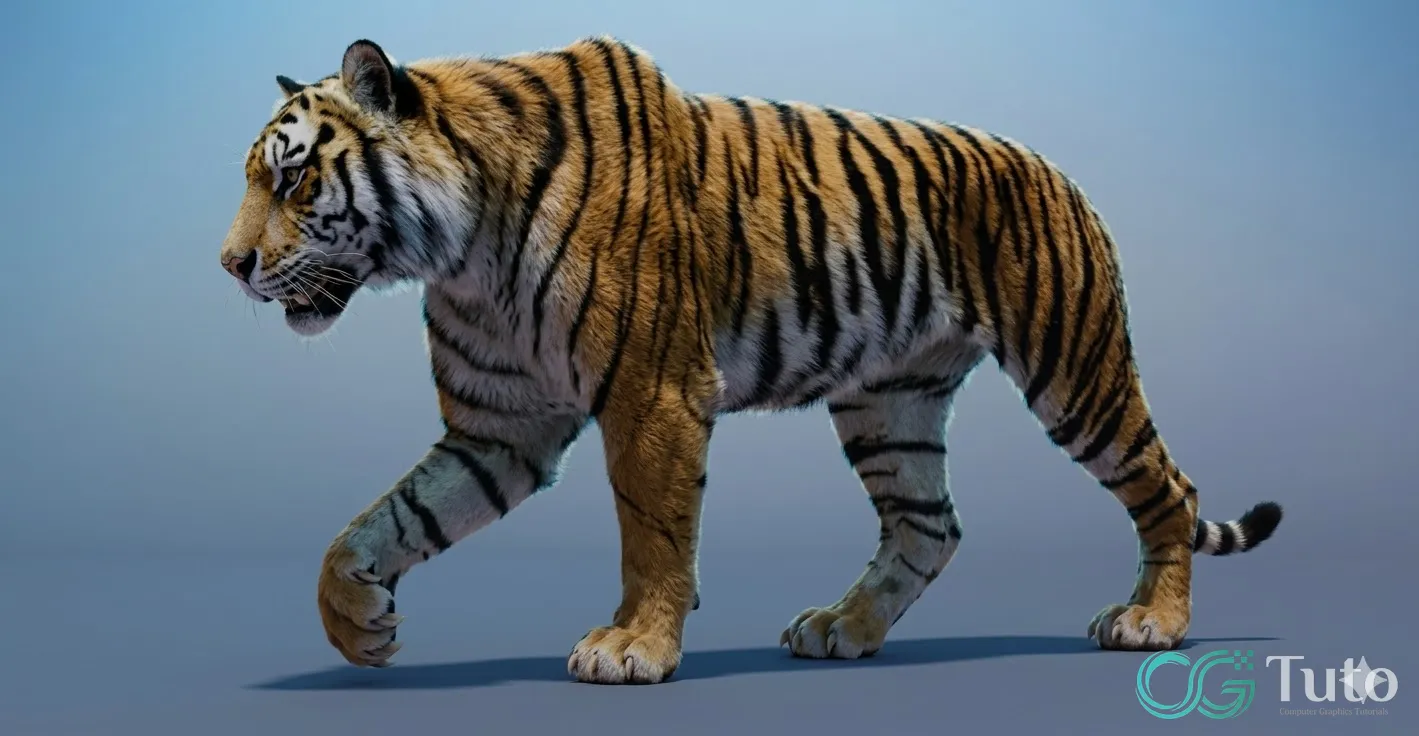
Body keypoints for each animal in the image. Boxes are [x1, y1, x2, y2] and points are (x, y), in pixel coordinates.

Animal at [218, 37, 1284, 685]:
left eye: (294, 178)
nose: (230, 267)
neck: (460, 247)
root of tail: (1057, 170)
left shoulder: (651, 391)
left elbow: (651, 531)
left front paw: (634, 647)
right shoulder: (497, 428)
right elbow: (378, 524)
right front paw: (359, 625)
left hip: (1074, 365)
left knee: (1166, 488)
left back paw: (1152, 622)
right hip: (889, 404)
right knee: (929, 525)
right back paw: (842, 631)